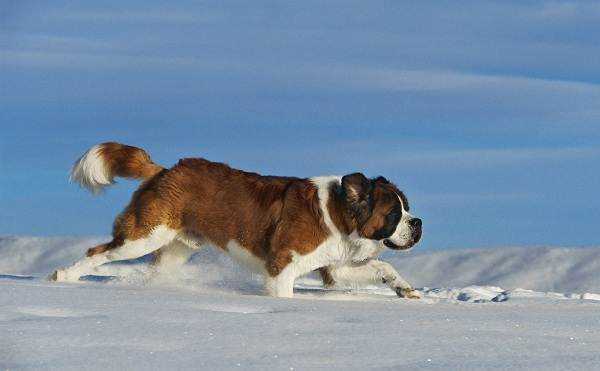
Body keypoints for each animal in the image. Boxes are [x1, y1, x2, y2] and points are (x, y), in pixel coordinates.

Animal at [52, 142, 426, 300]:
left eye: (407, 209)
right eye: (394, 214)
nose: (418, 222)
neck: (337, 212)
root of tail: (166, 170)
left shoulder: (333, 267)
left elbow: (381, 267)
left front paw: (403, 288)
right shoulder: (281, 269)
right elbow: (284, 293)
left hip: (175, 248)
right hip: (143, 235)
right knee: (98, 252)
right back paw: (63, 277)